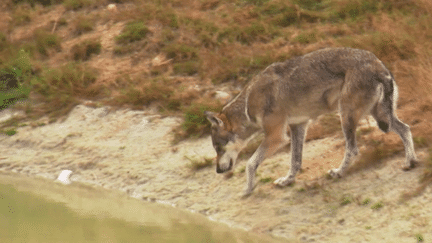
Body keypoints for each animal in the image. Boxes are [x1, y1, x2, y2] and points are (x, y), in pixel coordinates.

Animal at [206, 47, 418, 196]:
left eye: (218, 148)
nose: (217, 171)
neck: (249, 102)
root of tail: (378, 64)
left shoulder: (276, 137)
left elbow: (250, 164)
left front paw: (248, 189)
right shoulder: (298, 126)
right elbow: (295, 161)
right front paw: (287, 181)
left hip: (347, 117)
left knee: (353, 149)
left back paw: (338, 172)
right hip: (380, 116)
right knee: (406, 129)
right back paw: (411, 162)